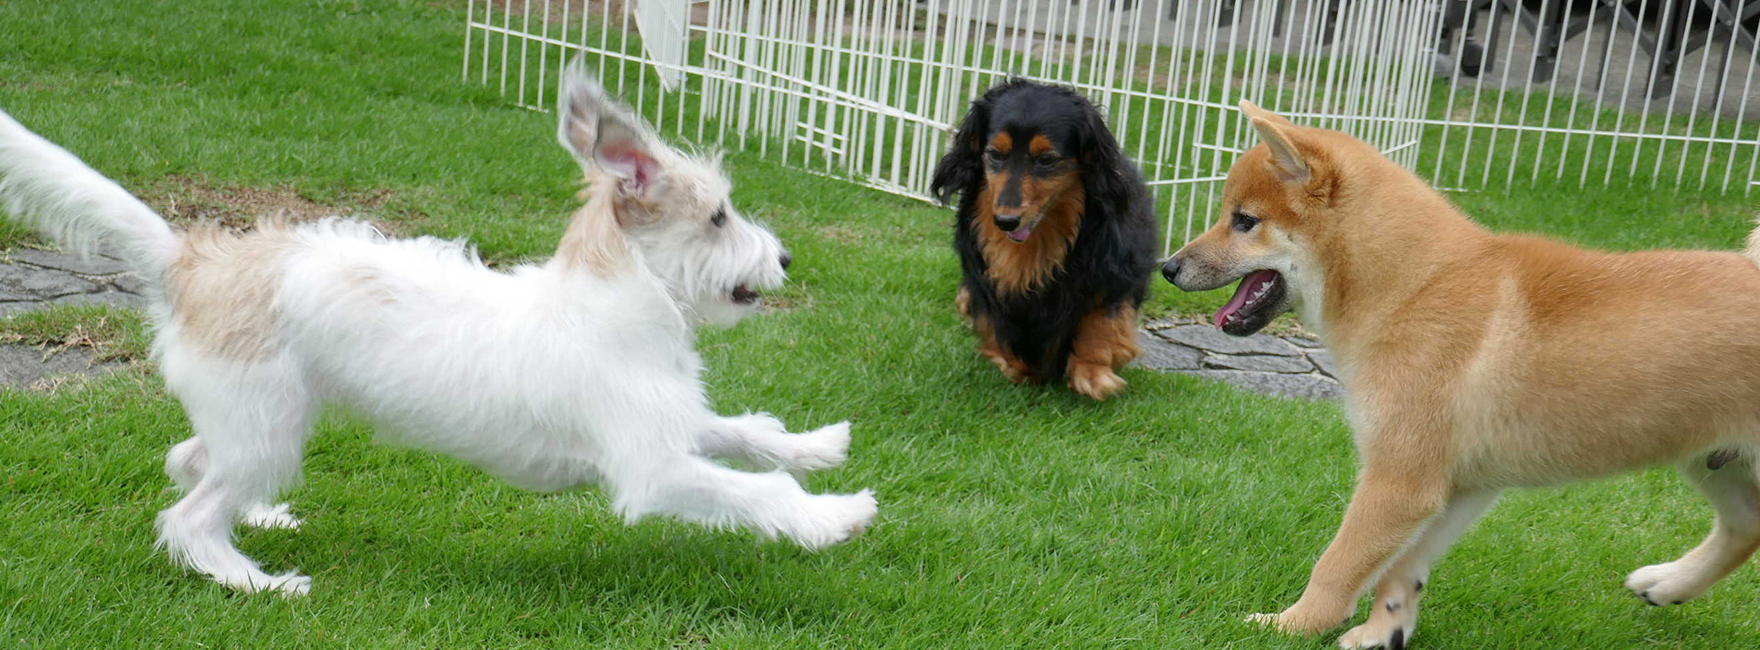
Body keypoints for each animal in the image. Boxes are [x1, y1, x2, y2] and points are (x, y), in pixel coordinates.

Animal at [0, 64, 880, 591]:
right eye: (720, 215)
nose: (786, 258)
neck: (611, 300)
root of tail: (193, 261)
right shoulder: (653, 467)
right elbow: (755, 489)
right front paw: (834, 517)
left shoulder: (673, 420)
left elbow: (746, 433)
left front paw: (820, 447)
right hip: (267, 424)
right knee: (185, 518)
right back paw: (256, 580)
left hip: (263, 421)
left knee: (190, 461)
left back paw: (261, 517)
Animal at [1168, 99, 1760, 648]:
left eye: (1244, 220)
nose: (1168, 267)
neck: (1414, 285)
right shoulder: (1457, 485)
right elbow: (1402, 572)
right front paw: (1382, 632)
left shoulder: (1399, 481)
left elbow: (1338, 564)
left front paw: (1292, 625)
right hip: (1717, 464)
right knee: (1743, 528)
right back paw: (1668, 584)